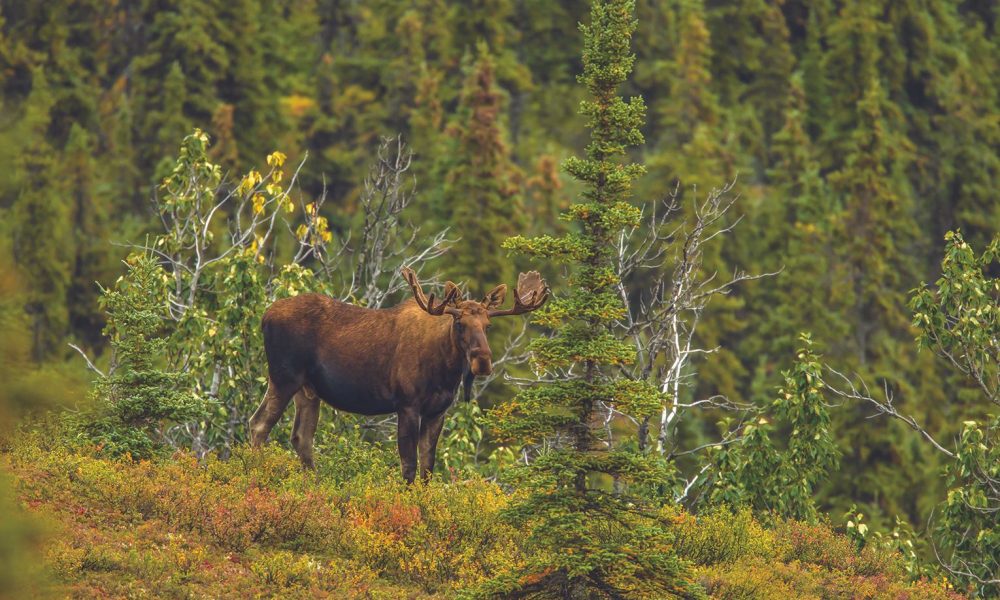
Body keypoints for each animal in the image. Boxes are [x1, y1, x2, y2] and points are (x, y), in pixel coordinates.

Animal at [248, 267, 548, 483]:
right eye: (459, 323)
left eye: (487, 325)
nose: (482, 361)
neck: (445, 371)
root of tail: (264, 317)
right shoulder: (407, 405)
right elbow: (409, 465)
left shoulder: (437, 411)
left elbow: (428, 466)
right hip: (283, 377)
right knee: (259, 424)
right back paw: (257, 478)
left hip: (308, 390)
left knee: (301, 437)